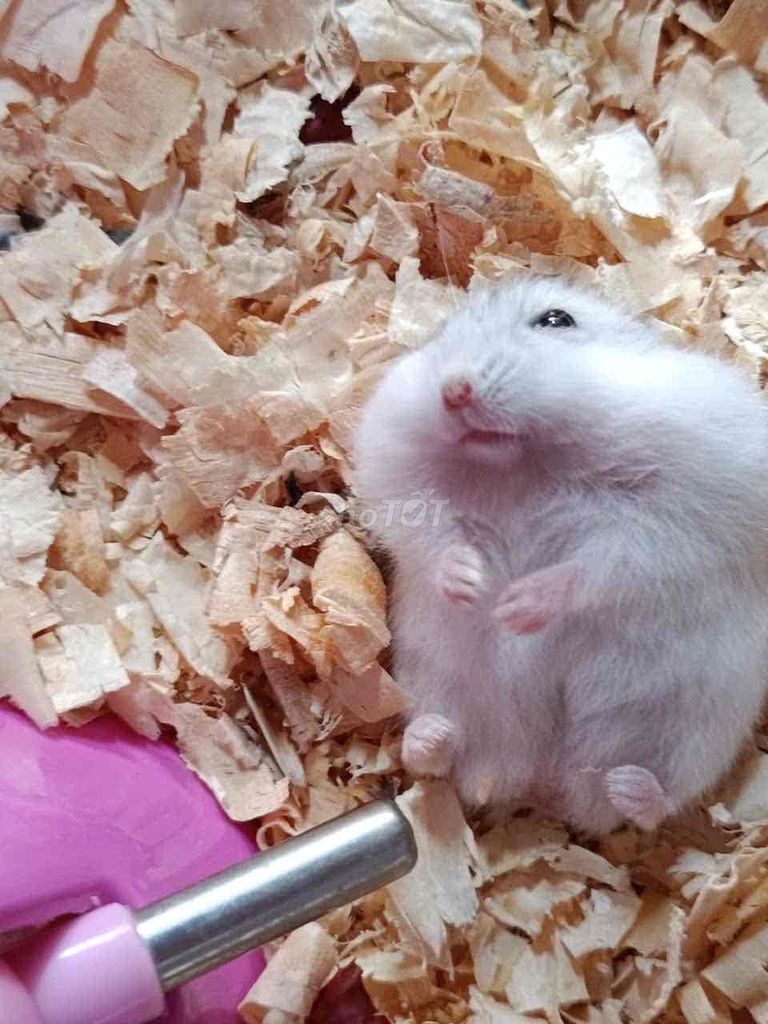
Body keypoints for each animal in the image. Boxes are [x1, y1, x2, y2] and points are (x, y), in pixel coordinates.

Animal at [354, 278, 768, 834]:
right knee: (440, 762)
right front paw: (472, 583)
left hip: (700, 726)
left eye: (556, 320)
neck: (526, 465)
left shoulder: (662, 528)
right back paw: (433, 736)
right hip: (435, 680)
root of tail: (544, 781)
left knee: (657, 800)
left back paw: (630, 787)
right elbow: (433, 536)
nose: (454, 389)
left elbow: (596, 569)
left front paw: (517, 607)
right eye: (443, 332)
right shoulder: (400, 477)